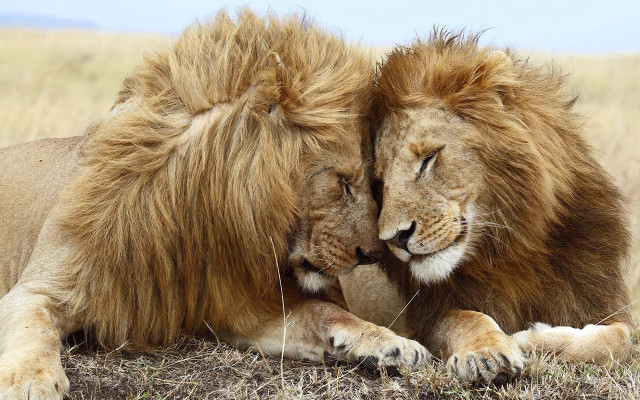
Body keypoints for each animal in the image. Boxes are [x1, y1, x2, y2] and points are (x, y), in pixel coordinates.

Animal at [0, 11, 429, 399]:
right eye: (342, 183)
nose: (373, 254)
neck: (193, 210)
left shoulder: (240, 308)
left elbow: (325, 312)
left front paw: (394, 344)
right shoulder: (36, 290)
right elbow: (33, 329)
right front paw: (31, 382)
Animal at [340, 31, 634, 385]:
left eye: (428, 159)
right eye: (380, 182)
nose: (395, 238)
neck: (511, 247)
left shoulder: (597, 299)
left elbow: (618, 339)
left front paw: (532, 339)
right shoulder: (431, 314)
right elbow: (468, 318)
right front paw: (489, 352)